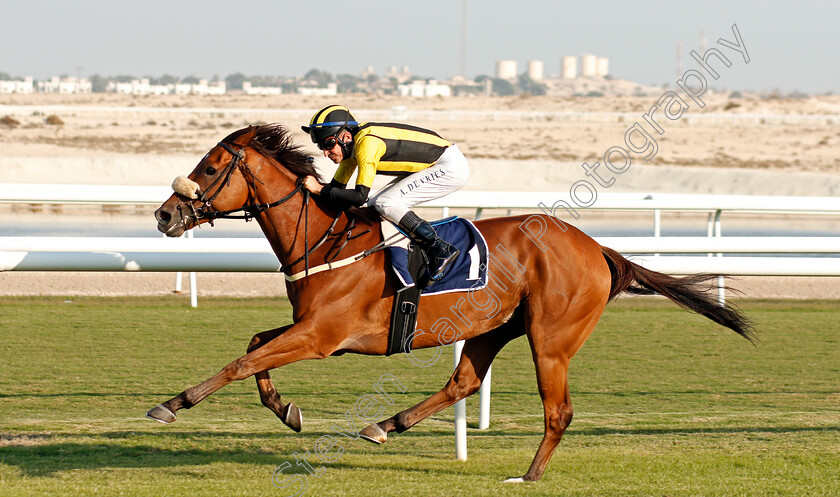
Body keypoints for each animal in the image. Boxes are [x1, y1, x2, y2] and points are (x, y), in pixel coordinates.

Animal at [146, 123, 756, 480]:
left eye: (209, 167)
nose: (164, 214)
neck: (323, 239)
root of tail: (596, 247)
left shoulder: (321, 338)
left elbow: (241, 360)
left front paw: (173, 404)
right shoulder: (311, 330)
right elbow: (254, 347)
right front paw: (286, 410)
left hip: (550, 339)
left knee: (557, 410)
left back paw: (528, 476)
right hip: (495, 327)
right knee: (463, 382)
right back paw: (385, 425)